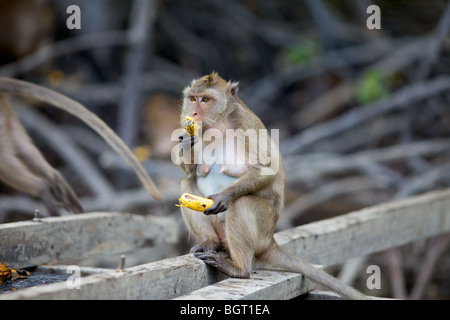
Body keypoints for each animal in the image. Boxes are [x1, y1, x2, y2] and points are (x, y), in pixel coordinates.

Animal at [177, 72, 370, 300]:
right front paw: (185, 139)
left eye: (205, 99)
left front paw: (223, 197)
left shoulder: (245, 123)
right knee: (187, 184)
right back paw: (211, 241)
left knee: (241, 203)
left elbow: (266, 170)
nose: (194, 112)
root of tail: (270, 239)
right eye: (193, 98)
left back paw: (239, 269)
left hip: (263, 226)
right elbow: (191, 173)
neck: (218, 123)